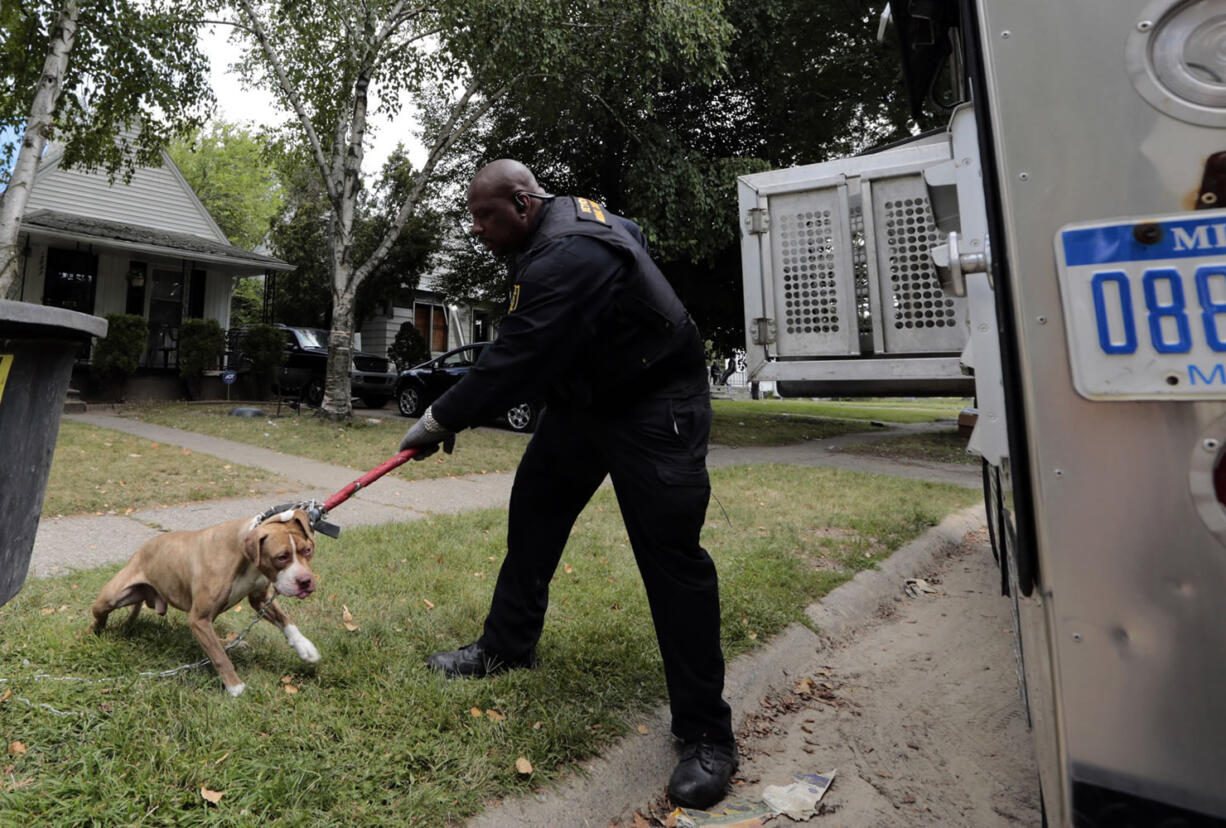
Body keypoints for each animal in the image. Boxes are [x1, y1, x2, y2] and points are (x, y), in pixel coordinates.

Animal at [90, 507, 321, 696]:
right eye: (281, 557)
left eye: (308, 550)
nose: (305, 581)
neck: (245, 557)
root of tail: (139, 552)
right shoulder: (199, 618)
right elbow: (219, 657)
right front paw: (236, 688)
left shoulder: (260, 599)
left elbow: (285, 620)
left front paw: (304, 646)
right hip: (111, 597)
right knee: (99, 615)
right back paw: (95, 634)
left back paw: (229, 642)